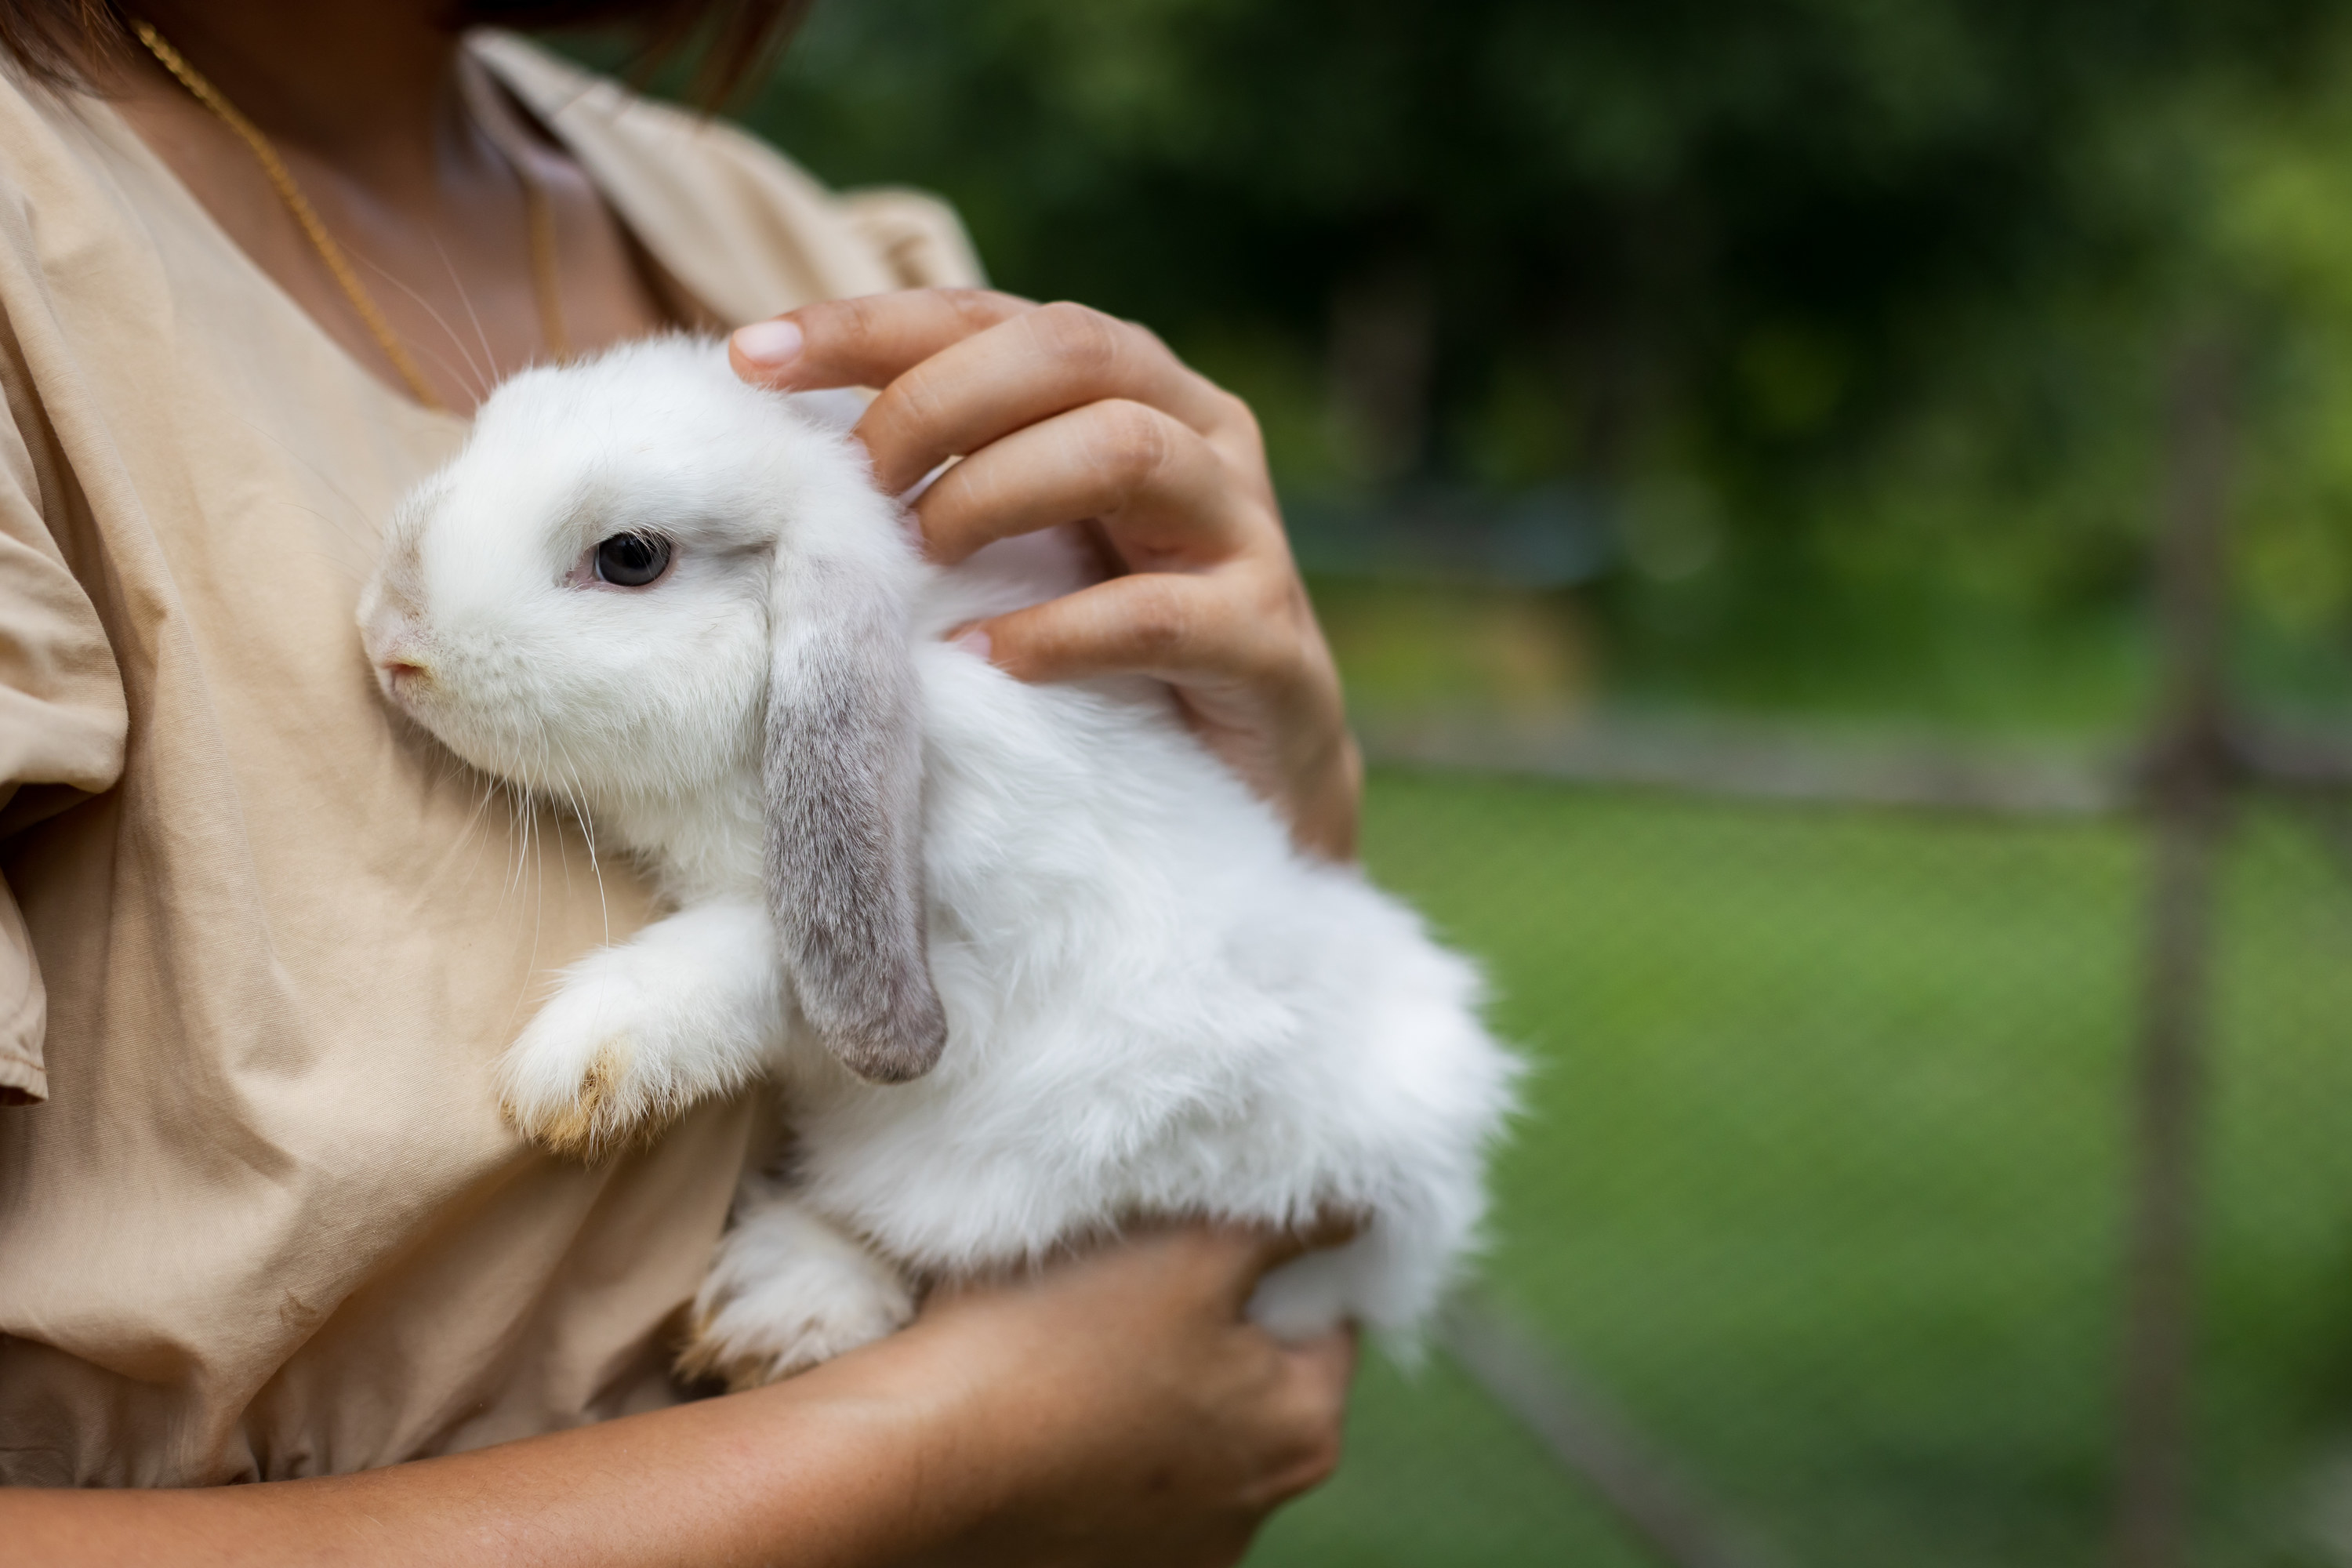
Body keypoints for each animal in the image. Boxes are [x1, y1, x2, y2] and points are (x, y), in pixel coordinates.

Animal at [358, 340, 1515, 1382]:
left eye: (631, 556)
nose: (389, 635)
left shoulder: (959, 929)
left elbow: (760, 953)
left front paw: (574, 1063)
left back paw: (787, 1301)